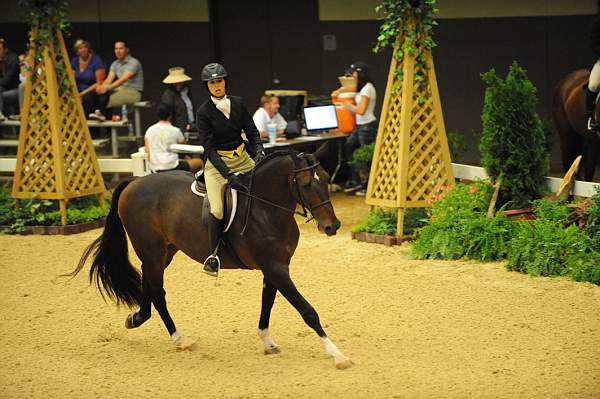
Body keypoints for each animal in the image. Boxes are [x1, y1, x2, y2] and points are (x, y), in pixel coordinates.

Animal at [70, 148, 354, 370]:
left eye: (326, 179)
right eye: (306, 185)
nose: (332, 226)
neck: (265, 208)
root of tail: (134, 182)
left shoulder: (275, 267)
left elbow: (267, 303)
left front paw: (267, 341)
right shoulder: (275, 268)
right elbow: (307, 311)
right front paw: (337, 355)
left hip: (165, 251)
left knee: (148, 281)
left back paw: (137, 318)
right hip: (152, 251)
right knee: (158, 291)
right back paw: (179, 339)